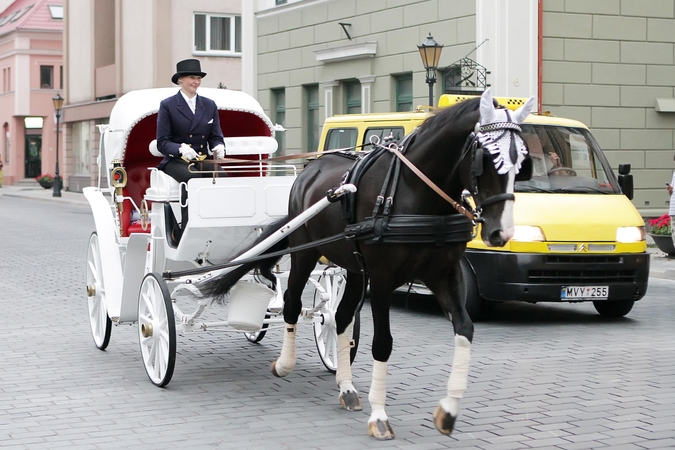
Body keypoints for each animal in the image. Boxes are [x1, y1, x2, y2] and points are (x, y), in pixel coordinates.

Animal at [205, 88, 532, 440]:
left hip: (353, 269)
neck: (415, 193)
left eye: (522, 163)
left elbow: (465, 329)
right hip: (305, 253)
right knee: (292, 303)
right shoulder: (383, 277)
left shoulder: (445, 273)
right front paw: (379, 416)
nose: (502, 233)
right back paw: (284, 363)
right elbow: (383, 343)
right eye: (487, 158)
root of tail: (310, 168)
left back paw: (346, 387)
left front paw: (448, 410)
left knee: (340, 317)